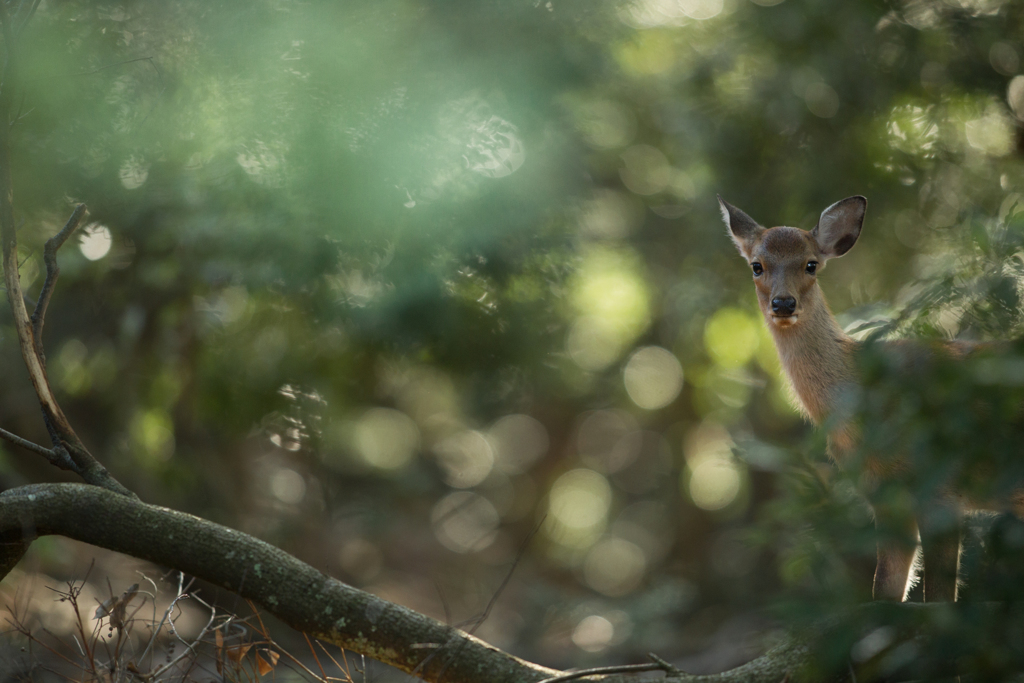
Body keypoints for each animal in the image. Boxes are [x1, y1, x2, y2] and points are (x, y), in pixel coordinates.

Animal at [712, 194, 999, 602]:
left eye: (811, 264)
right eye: (757, 266)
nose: (783, 304)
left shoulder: (941, 486)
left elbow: (940, 596)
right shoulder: (884, 496)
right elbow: (884, 590)